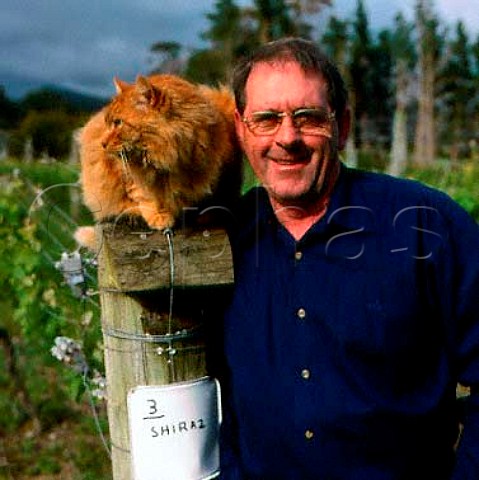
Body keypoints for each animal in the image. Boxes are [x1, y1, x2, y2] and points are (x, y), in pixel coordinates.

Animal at [75, 74, 244, 249]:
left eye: (118, 123)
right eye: (109, 123)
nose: (102, 143)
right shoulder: (127, 171)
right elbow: (144, 195)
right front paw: (159, 215)